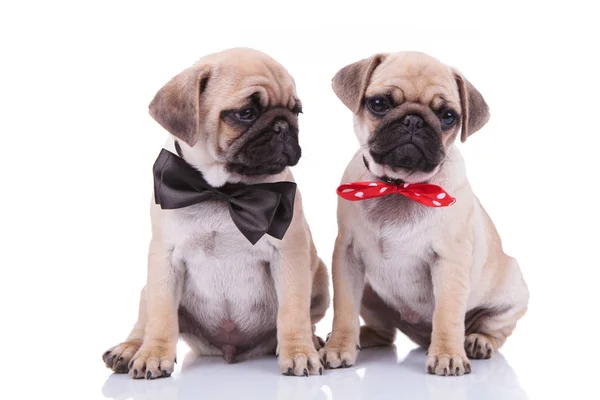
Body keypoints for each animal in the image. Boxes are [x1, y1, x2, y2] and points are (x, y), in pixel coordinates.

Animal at [102, 47, 328, 378]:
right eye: (245, 113)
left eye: (296, 112)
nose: (283, 126)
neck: (224, 192)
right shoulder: (164, 259)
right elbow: (161, 315)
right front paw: (154, 354)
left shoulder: (290, 255)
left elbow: (293, 311)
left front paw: (299, 352)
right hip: (146, 288)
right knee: (144, 320)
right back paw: (129, 349)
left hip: (321, 277)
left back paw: (314, 341)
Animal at [324, 52, 528, 376]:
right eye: (379, 104)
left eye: (448, 116)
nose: (414, 120)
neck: (400, 186)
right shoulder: (347, 256)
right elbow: (344, 309)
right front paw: (339, 347)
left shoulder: (449, 263)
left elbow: (447, 314)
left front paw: (447, 355)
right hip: (369, 293)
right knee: (384, 332)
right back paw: (360, 338)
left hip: (512, 293)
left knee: (493, 327)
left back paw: (477, 341)